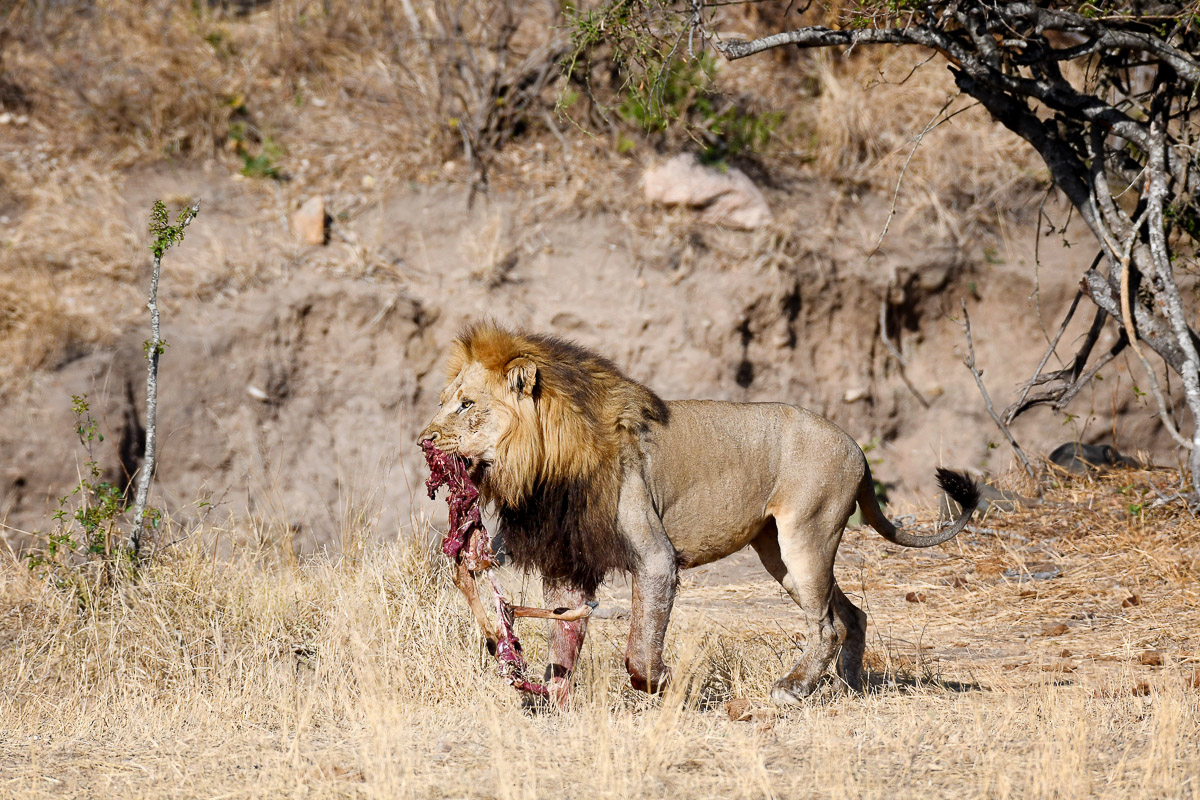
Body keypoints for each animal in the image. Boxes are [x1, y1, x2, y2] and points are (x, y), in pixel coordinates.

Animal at [418, 323, 980, 705]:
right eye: (444, 401)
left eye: (466, 405)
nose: (424, 439)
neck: (543, 468)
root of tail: (858, 449)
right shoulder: (569, 561)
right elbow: (563, 642)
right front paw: (551, 702)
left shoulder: (655, 558)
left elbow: (640, 648)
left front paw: (664, 681)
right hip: (778, 552)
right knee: (849, 614)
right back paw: (849, 685)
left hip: (807, 536)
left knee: (825, 625)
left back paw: (792, 688)